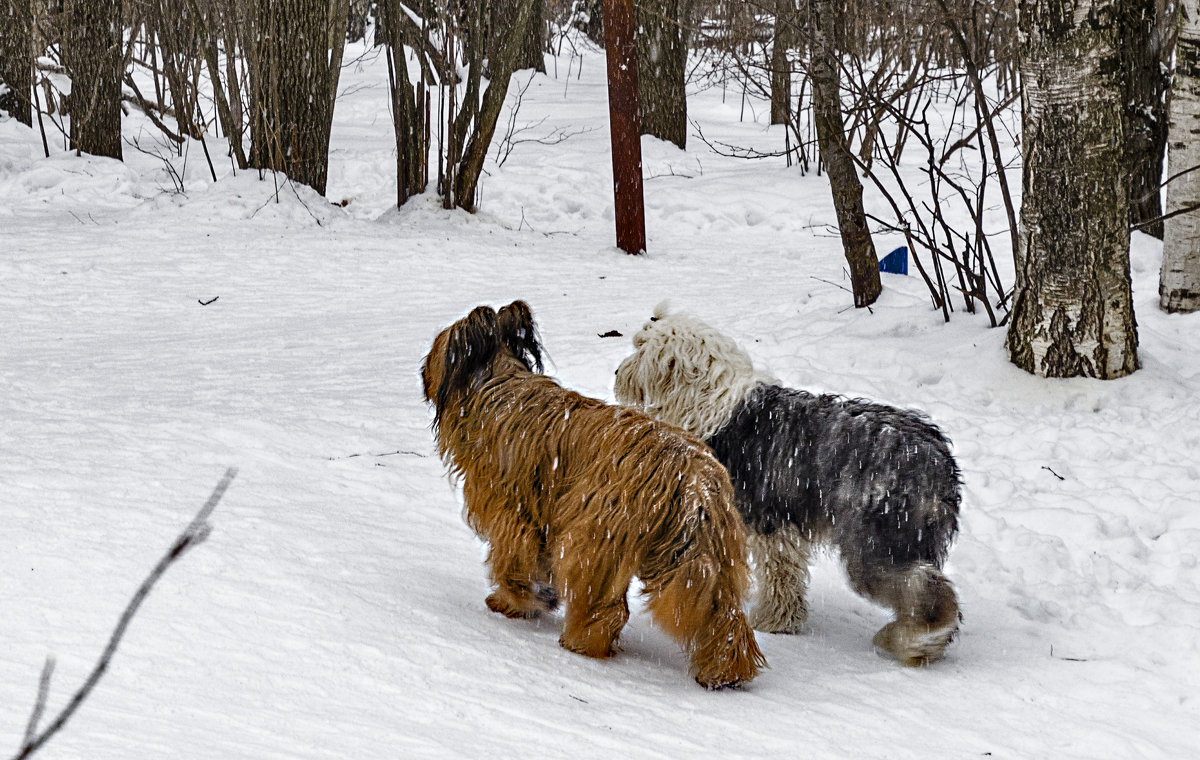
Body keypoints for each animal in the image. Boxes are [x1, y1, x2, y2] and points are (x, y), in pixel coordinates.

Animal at [417, 301, 763, 686]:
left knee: (603, 603)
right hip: (705, 547)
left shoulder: (514, 513)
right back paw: (726, 670)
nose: (421, 371)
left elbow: (515, 561)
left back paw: (581, 642)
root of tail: (691, 473)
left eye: (436, 347)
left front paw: (513, 603)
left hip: (597, 533)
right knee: (722, 610)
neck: (496, 387)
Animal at [619, 303, 964, 662]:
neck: (712, 404)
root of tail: (938, 460)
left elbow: (779, 575)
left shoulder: (771, 522)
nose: (617, 373)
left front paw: (773, 621)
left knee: (926, 590)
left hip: (876, 540)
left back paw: (911, 640)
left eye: (639, 346)